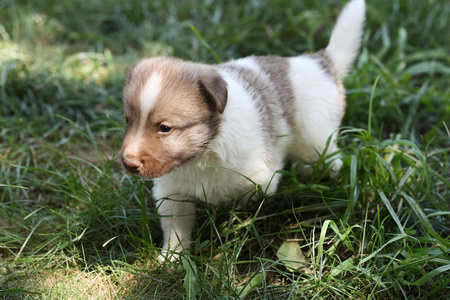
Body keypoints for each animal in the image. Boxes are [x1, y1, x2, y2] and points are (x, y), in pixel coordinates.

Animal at [119, 0, 366, 260]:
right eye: (128, 121)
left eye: (165, 128)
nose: (128, 163)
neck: (203, 155)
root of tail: (317, 62)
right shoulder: (172, 192)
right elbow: (176, 229)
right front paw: (172, 258)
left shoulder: (259, 182)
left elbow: (245, 214)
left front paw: (237, 236)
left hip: (316, 142)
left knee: (331, 162)